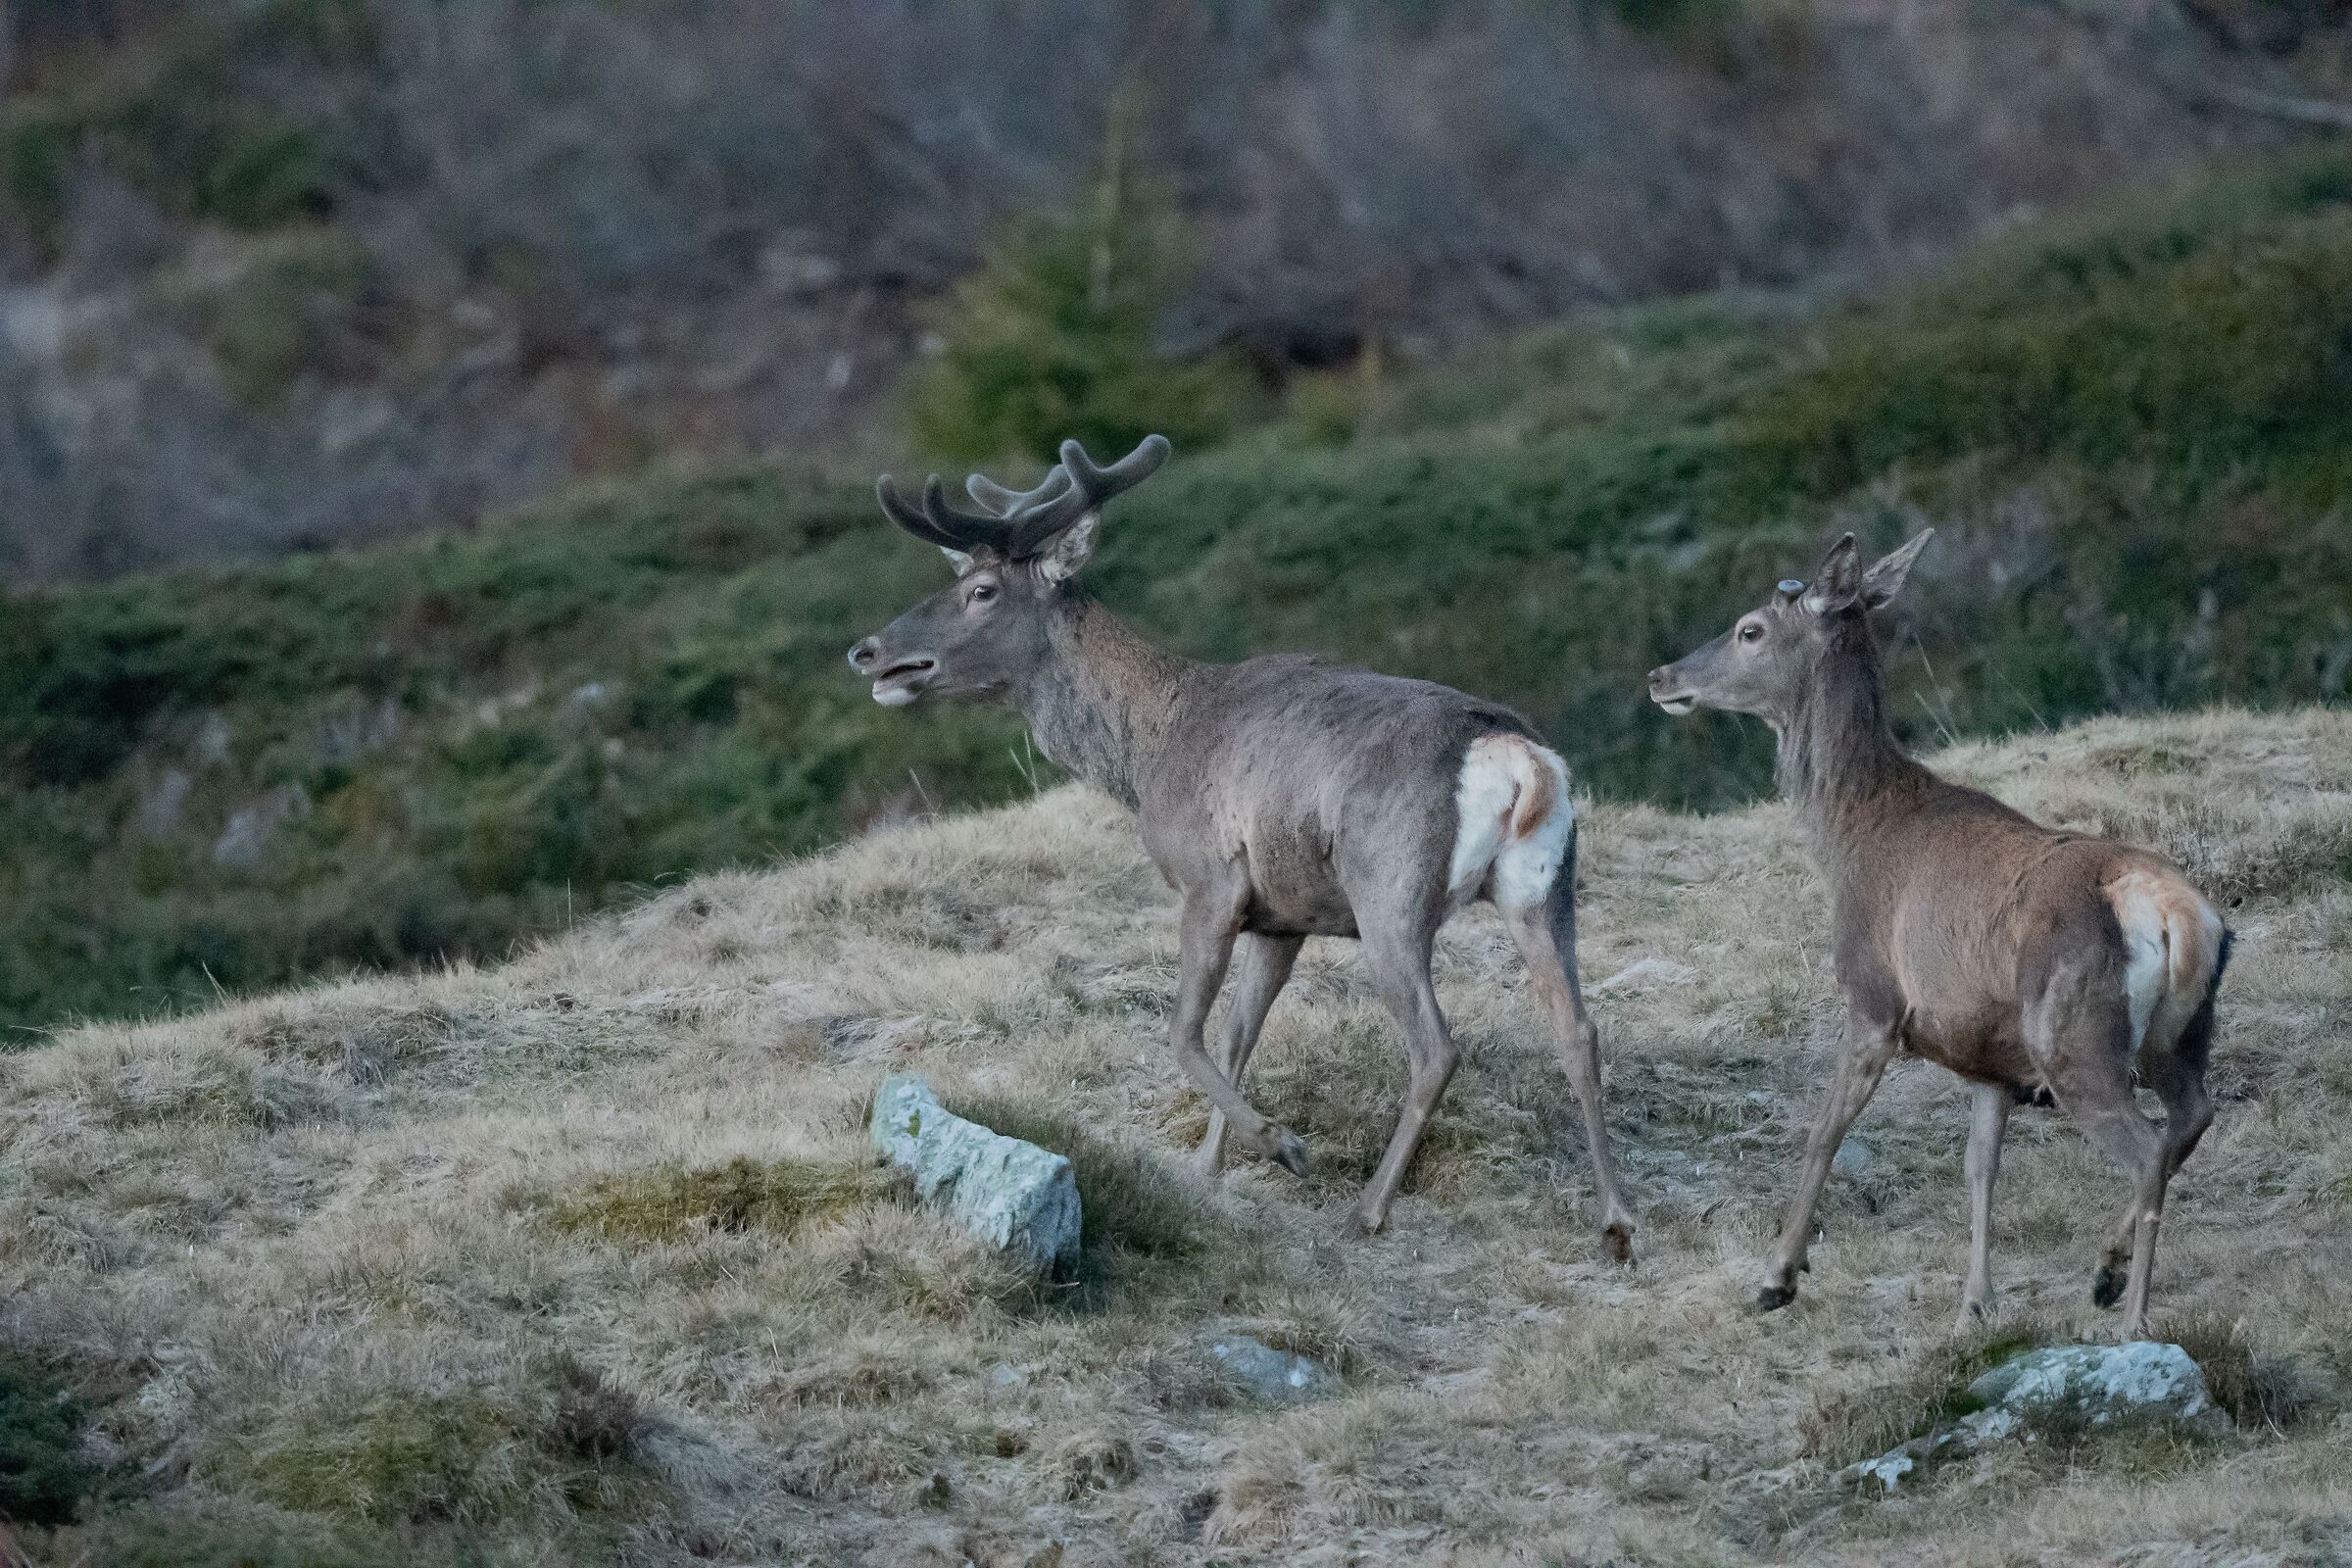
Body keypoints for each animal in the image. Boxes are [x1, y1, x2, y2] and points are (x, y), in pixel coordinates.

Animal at [846, 434, 1636, 1256]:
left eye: (983, 591)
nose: (869, 652)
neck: (1146, 756)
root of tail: (1516, 756)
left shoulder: (1211, 881)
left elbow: (1184, 1032)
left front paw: (1278, 1145)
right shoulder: (1284, 916)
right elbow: (1238, 1034)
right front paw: (1207, 1167)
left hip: (1392, 889)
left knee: (1436, 1047)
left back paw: (1369, 1208)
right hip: (1544, 888)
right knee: (1578, 1028)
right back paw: (1616, 1219)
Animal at [1647, 531, 2229, 1338]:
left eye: (1749, 630)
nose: (1660, 675)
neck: (1852, 841)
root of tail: (2176, 913)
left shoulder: (1874, 995)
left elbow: (1827, 1125)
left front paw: (1777, 1276)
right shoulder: (1986, 1051)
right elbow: (1979, 1164)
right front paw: (1975, 1304)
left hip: (2074, 1033)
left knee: (2147, 1146)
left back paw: (2130, 1317)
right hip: (2177, 1035)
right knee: (2193, 1115)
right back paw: (2105, 1273)